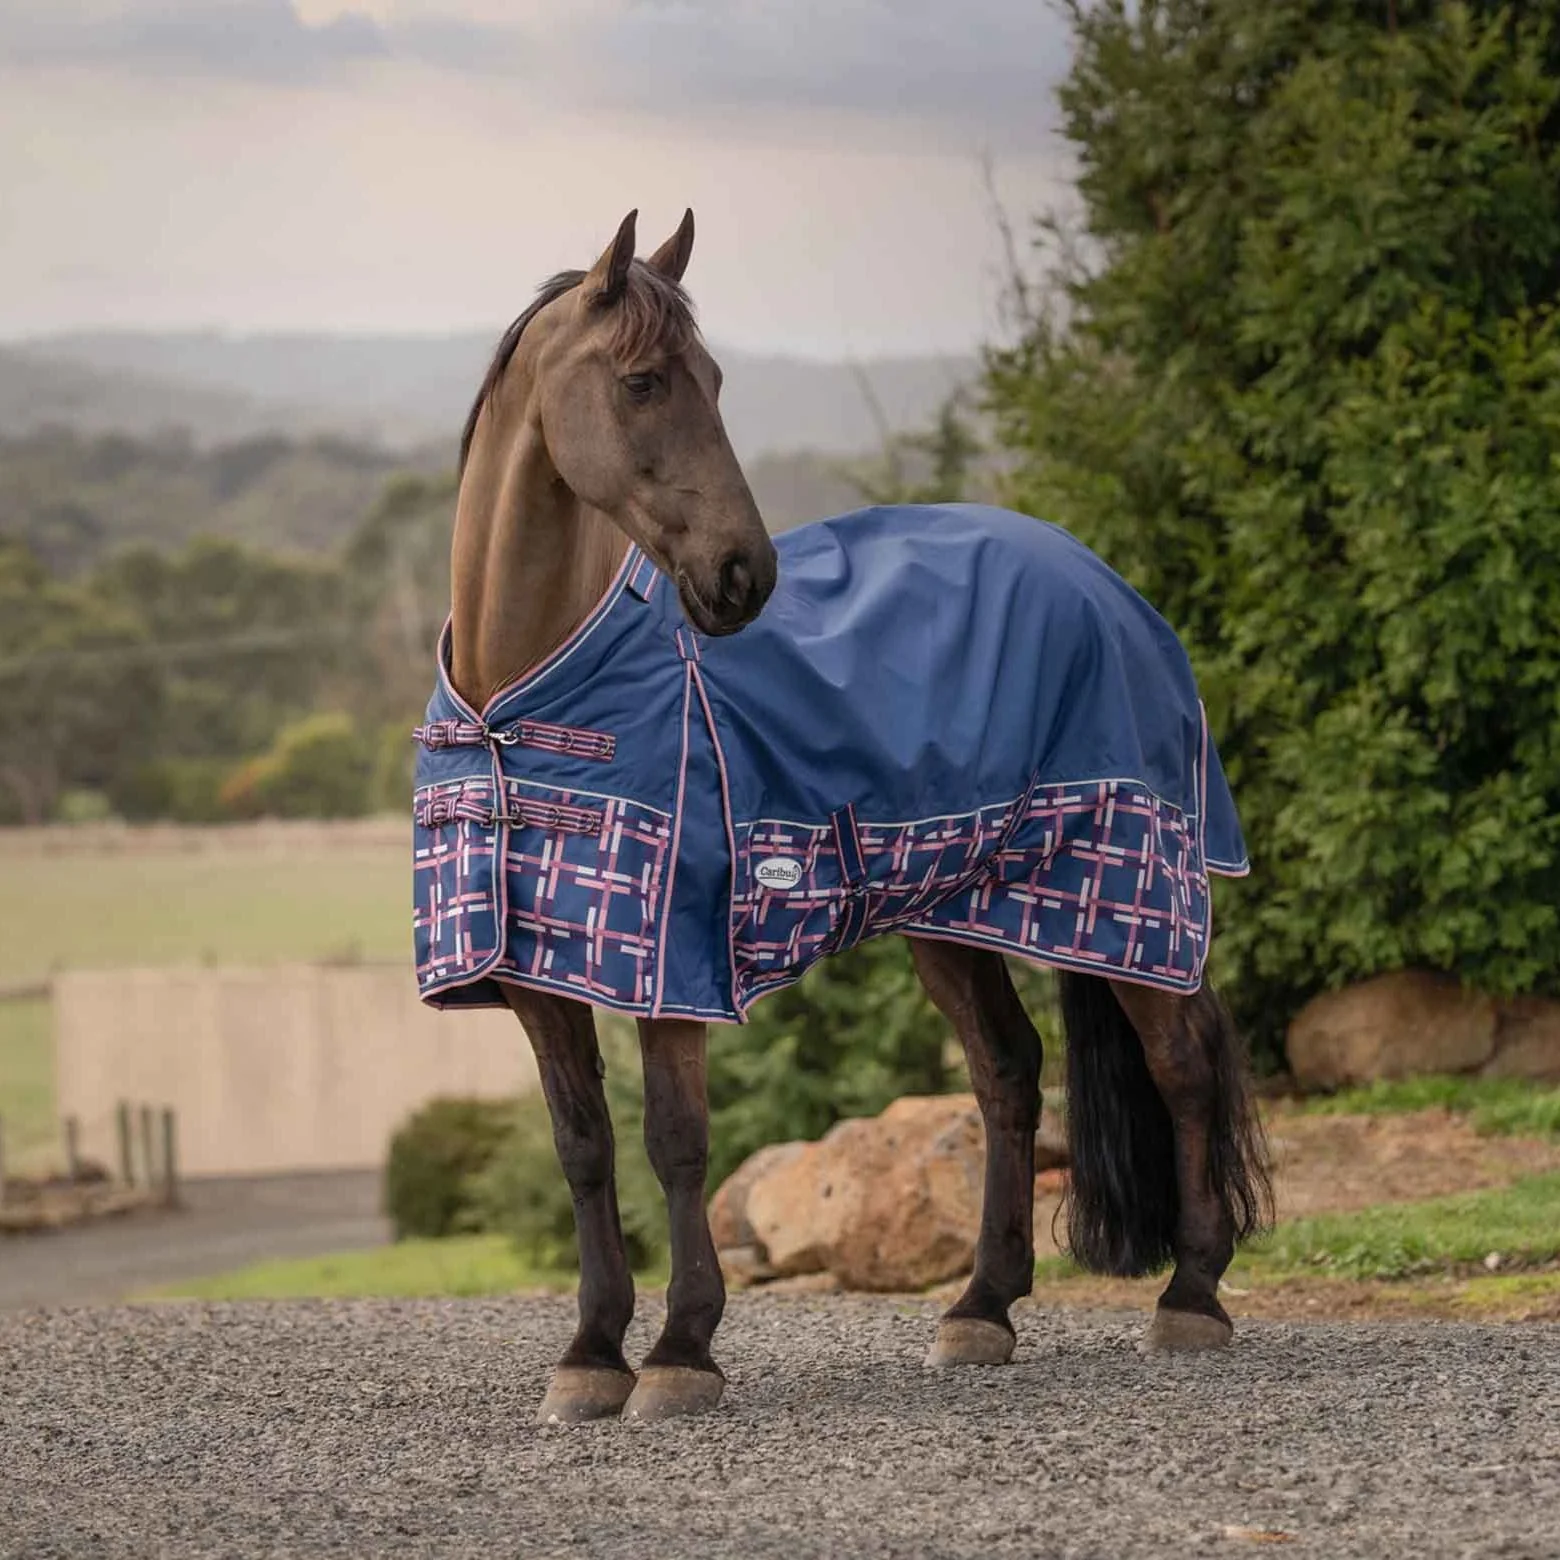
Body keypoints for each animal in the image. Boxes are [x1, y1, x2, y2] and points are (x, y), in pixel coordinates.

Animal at [412, 209, 1272, 1426]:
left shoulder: (673, 961)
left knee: (1185, 1061)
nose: (745, 574)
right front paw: (590, 1352)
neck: (519, 700)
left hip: (1128, 884)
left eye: (717, 380)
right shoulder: (541, 972)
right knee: (1007, 1072)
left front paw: (680, 1350)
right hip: (959, 909)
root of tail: (1109, 586)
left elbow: (677, 1142)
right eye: (642, 382)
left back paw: (1192, 1293)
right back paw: (982, 1307)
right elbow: (584, 1147)